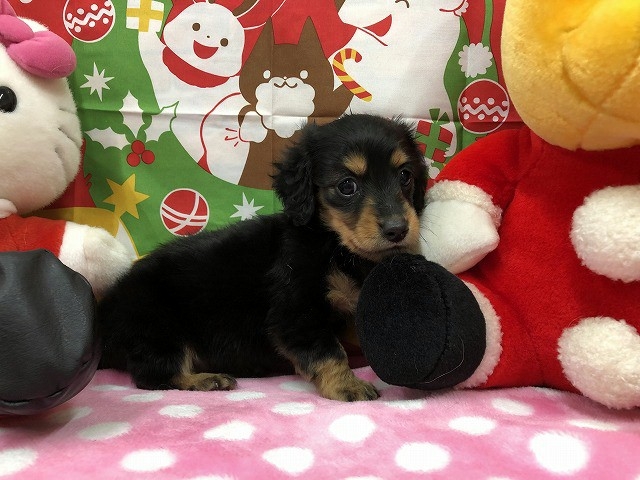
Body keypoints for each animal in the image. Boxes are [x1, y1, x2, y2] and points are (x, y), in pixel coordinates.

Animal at [97, 113, 427, 402]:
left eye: (405, 175)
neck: (330, 243)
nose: (398, 230)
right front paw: (348, 386)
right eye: (347, 185)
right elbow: (329, 352)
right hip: (160, 327)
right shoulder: (295, 314)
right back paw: (205, 380)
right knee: (153, 375)